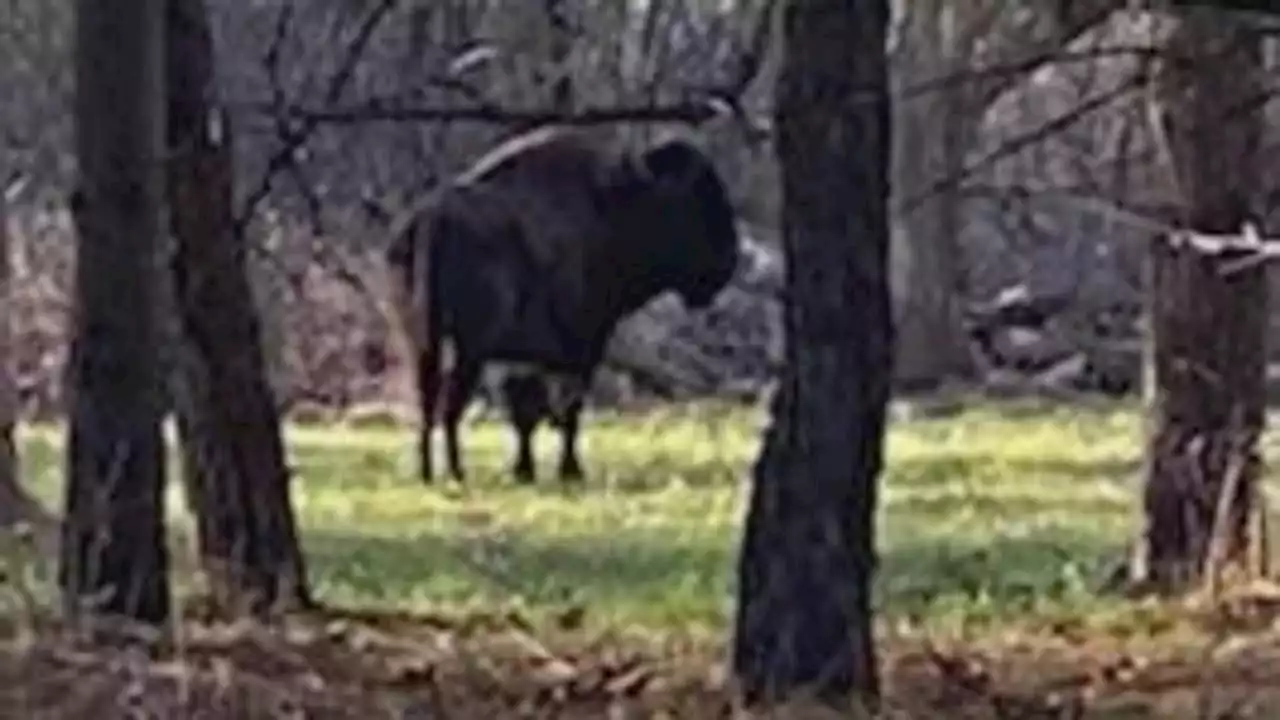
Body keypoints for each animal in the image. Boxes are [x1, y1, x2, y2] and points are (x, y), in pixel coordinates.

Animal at [381, 124, 742, 481]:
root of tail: (432, 220)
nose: (729, 260)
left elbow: (526, 414)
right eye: (699, 199)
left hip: (423, 342)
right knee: (450, 403)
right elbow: (567, 409)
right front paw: (570, 469)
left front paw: (524, 470)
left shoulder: (523, 359)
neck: (618, 201)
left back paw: (429, 471)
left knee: (428, 400)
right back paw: (456, 472)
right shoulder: (582, 346)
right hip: (469, 348)